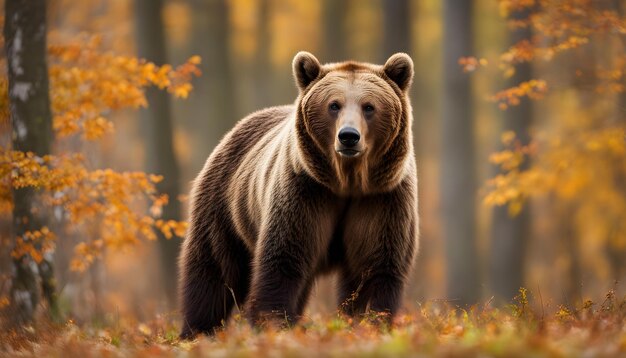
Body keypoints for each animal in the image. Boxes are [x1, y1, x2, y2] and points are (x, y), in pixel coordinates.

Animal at [178, 51, 416, 338]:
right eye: (334, 105)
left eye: (369, 106)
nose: (348, 136)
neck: (346, 182)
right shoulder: (304, 191)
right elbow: (284, 259)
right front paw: (272, 322)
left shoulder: (380, 199)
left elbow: (374, 265)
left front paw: (370, 322)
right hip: (224, 203)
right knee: (214, 269)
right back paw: (198, 330)